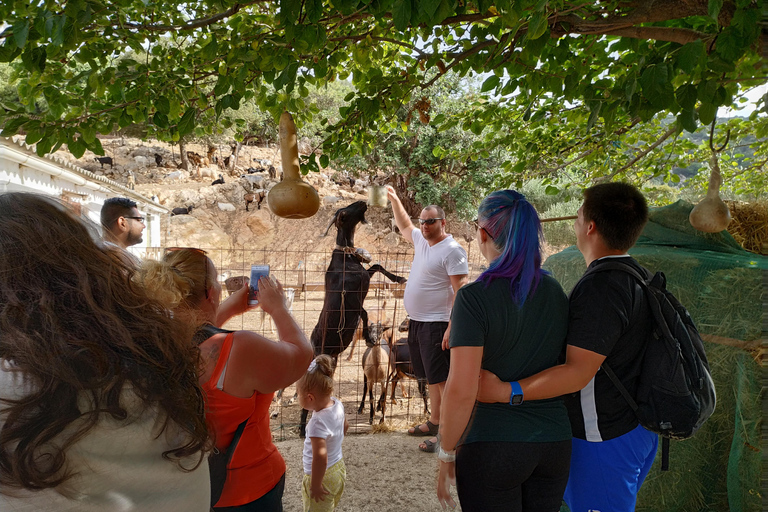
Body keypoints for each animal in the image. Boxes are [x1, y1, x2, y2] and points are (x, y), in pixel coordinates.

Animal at [300, 200, 408, 436]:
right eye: (345, 211)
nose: (363, 202)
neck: (345, 258)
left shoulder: (365, 279)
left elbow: (377, 266)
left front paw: (399, 277)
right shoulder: (352, 299)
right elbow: (365, 313)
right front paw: (369, 336)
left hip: (331, 363)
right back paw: (302, 429)